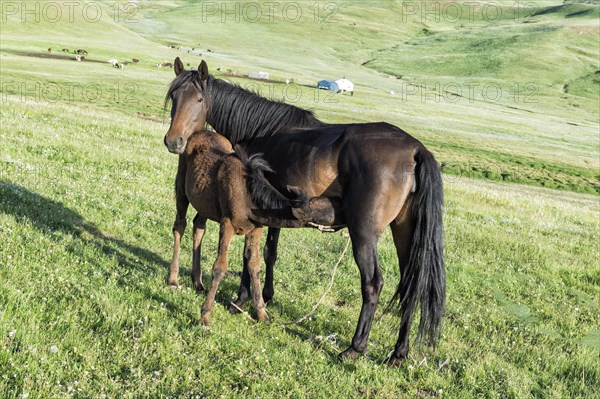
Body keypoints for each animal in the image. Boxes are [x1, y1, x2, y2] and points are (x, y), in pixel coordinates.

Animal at [164, 57, 446, 368]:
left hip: (364, 233)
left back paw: (355, 347)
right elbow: (268, 254)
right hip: (404, 230)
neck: (262, 130)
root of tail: (415, 150)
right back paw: (398, 353)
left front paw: (241, 299)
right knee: (410, 285)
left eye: (199, 99)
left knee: (373, 283)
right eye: (174, 96)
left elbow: (252, 255)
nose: (173, 141)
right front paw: (263, 296)